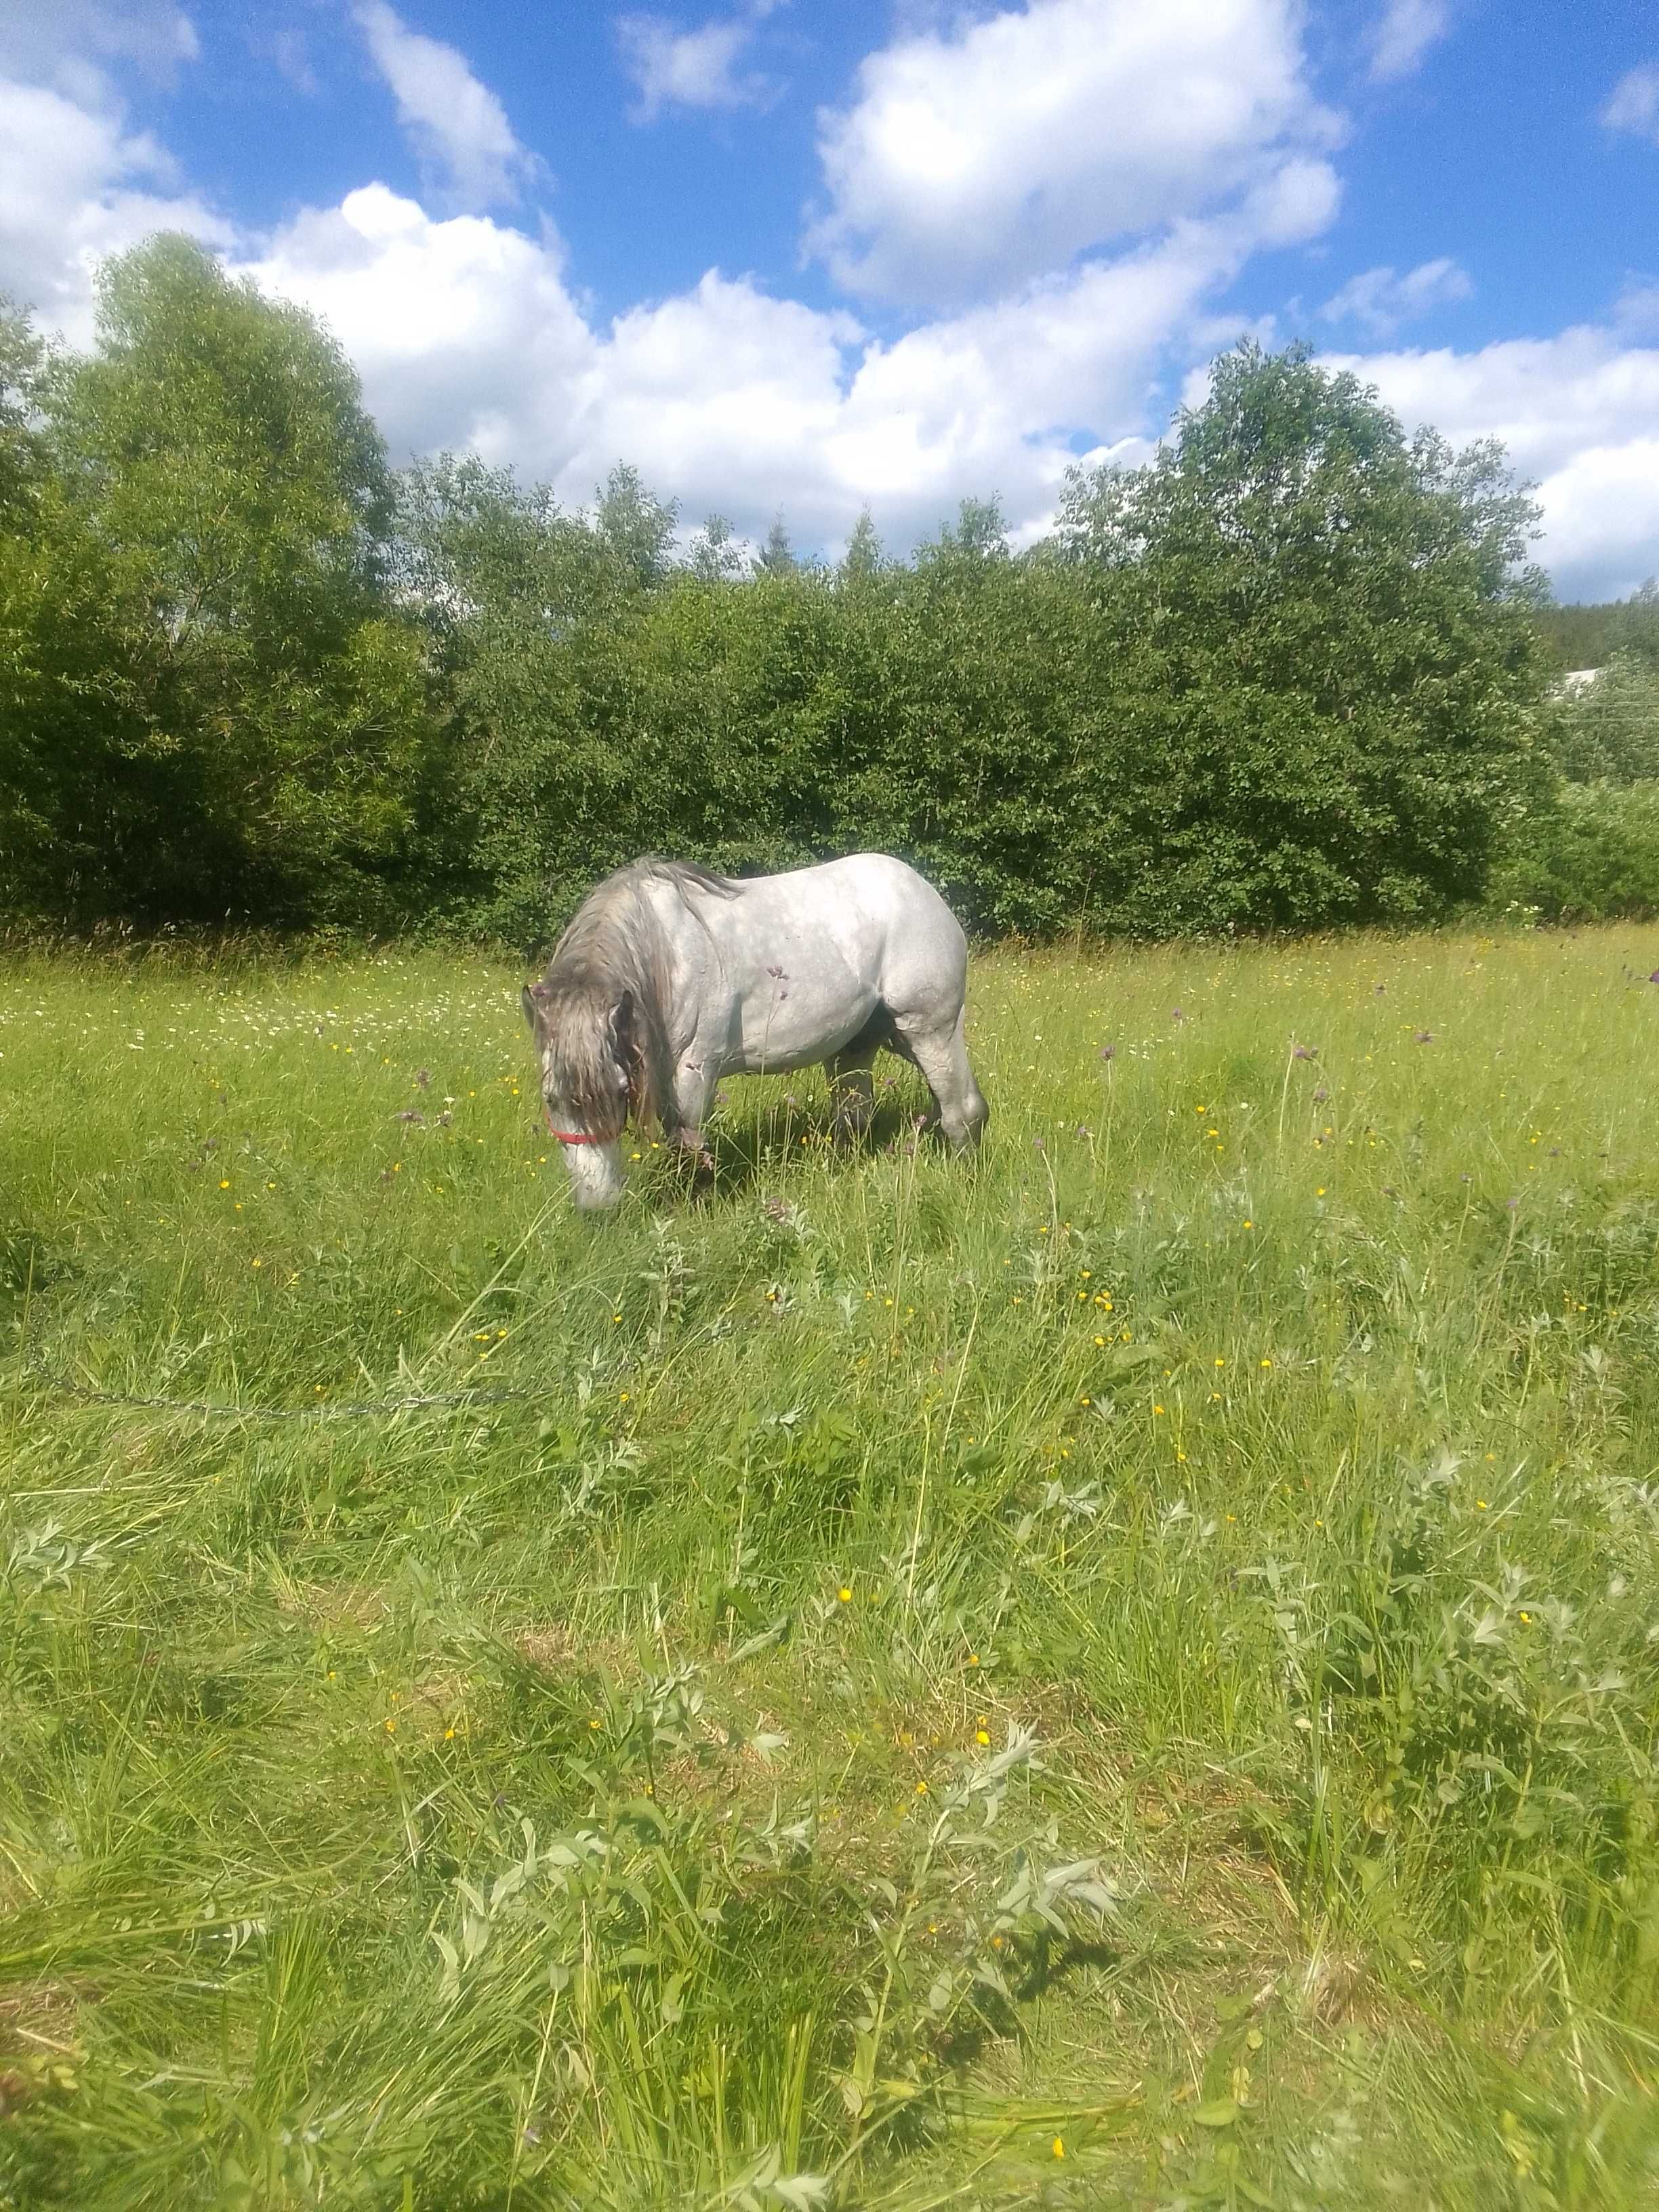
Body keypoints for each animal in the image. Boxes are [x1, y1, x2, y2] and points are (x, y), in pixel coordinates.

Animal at [522, 849, 986, 1212]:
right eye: (551, 1098)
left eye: (619, 1092)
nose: (597, 1208)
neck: (665, 955)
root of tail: (925, 891)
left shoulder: (692, 1073)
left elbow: (687, 1147)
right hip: (870, 1044)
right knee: (865, 1114)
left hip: (928, 1029)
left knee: (961, 1109)